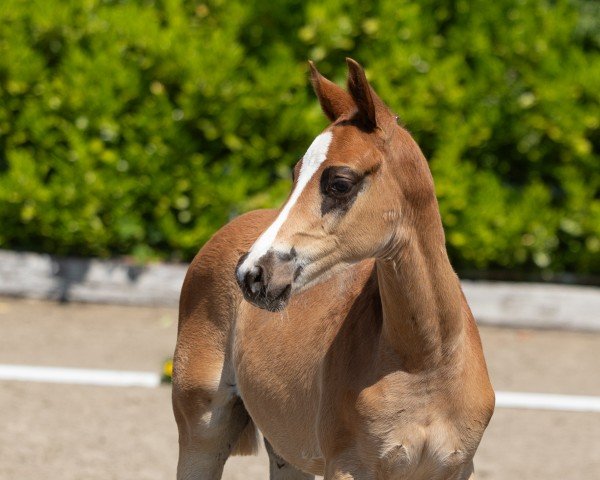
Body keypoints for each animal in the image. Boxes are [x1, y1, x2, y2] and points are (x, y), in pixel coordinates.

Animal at [172, 58, 492, 478]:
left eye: (340, 183)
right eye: (295, 174)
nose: (252, 274)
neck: (427, 360)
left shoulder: (456, 467)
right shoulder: (347, 466)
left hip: (287, 451)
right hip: (202, 429)